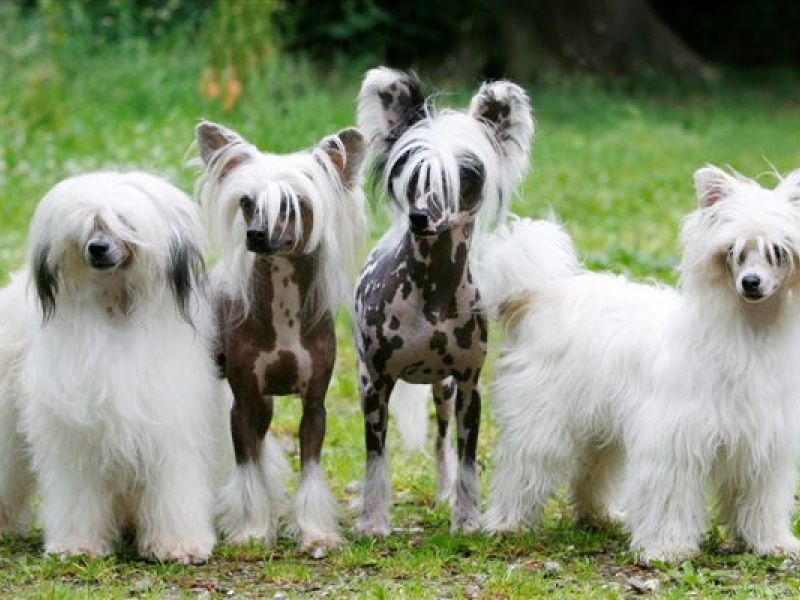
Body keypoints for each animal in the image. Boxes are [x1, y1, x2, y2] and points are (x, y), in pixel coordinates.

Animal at [0, 171, 219, 563]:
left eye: (124, 223)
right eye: (87, 225)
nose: (97, 248)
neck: (116, 308)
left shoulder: (169, 423)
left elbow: (173, 486)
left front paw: (178, 544)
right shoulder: (76, 432)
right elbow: (78, 490)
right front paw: (78, 545)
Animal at [195, 121, 366, 555]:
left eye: (293, 203)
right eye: (246, 202)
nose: (256, 234)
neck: (284, 309)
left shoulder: (315, 405)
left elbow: (309, 469)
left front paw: (314, 533)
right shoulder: (243, 402)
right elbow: (248, 469)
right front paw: (253, 530)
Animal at [352, 67, 533, 535]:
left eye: (464, 175)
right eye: (414, 173)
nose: (419, 217)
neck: (431, 292)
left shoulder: (469, 387)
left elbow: (467, 458)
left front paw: (465, 518)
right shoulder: (374, 385)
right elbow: (375, 459)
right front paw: (373, 521)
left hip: (445, 390)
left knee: (440, 439)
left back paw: (445, 489)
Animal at [481, 166, 800, 563]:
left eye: (778, 252)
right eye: (733, 252)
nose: (751, 283)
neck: (749, 332)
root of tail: (538, 296)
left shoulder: (763, 447)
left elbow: (761, 500)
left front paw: (771, 542)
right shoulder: (674, 442)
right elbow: (670, 497)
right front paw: (668, 548)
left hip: (598, 426)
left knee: (592, 470)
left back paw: (598, 515)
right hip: (542, 423)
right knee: (523, 469)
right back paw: (508, 523)